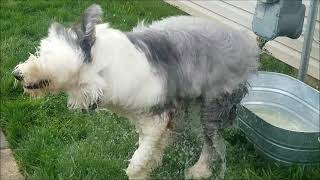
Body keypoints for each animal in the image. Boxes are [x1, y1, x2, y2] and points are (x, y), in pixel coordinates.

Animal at [12, 4, 260, 180]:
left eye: (47, 56)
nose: (16, 73)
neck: (103, 70)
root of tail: (247, 43)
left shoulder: (156, 117)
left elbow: (137, 162)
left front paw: (142, 169)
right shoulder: (145, 117)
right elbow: (149, 150)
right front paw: (152, 164)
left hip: (213, 105)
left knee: (211, 142)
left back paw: (199, 170)